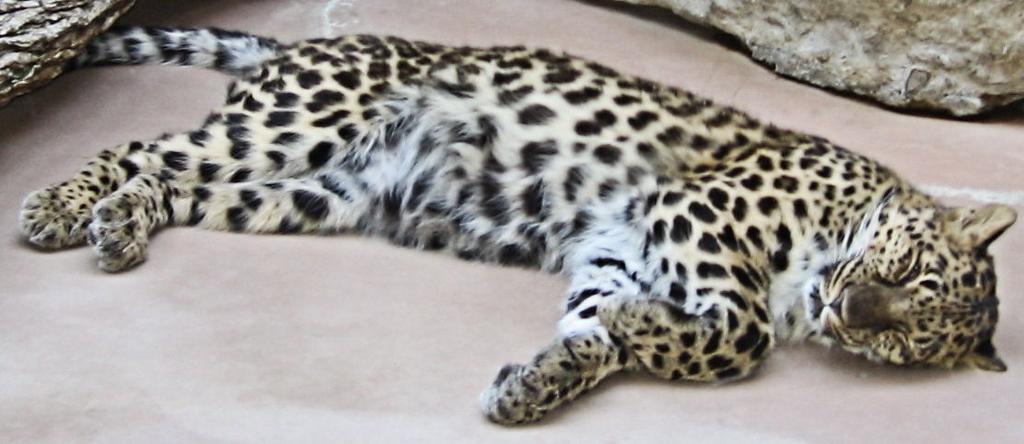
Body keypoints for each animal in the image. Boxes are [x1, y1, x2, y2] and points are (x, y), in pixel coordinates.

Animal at [18, 26, 1016, 425]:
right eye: (909, 267)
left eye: (906, 342)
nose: (853, 314)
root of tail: (304, 45)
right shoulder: (689, 208)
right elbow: (742, 336)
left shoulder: (615, 249)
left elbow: (614, 330)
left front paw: (541, 382)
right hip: (300, 122)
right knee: (143, 144)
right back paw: (58, 208)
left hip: (314, 189)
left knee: (170, 179)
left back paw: (117, 223)